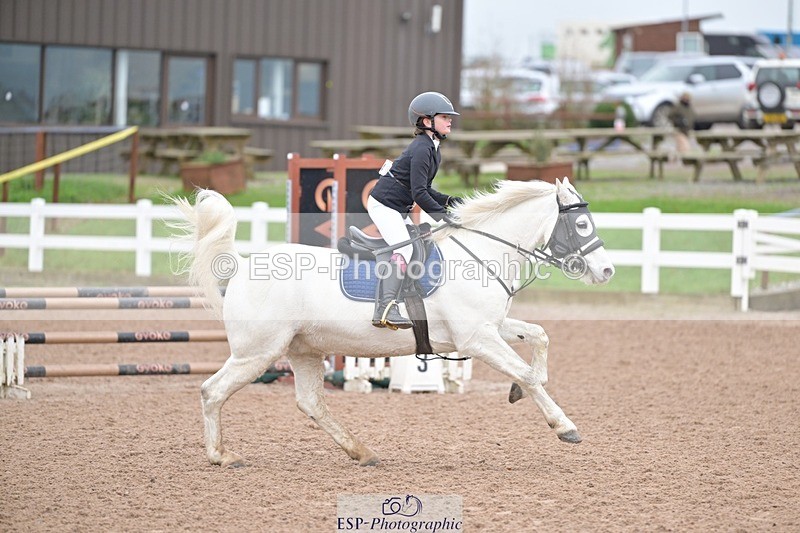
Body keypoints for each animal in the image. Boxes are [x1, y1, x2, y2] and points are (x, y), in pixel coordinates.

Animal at [170, 177, 614, 467]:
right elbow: (527, 372)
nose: (607, 271)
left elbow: (539, 338)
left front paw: (518, 392)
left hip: (303, 350)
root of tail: (243, 266)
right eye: (581, 224)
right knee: (212, 391)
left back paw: (362, 452)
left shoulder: (489, 327)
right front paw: (563, 425)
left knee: (311, 403)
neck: (481, 253)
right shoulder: (476, 339)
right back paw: (222, 456)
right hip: (257, 353)